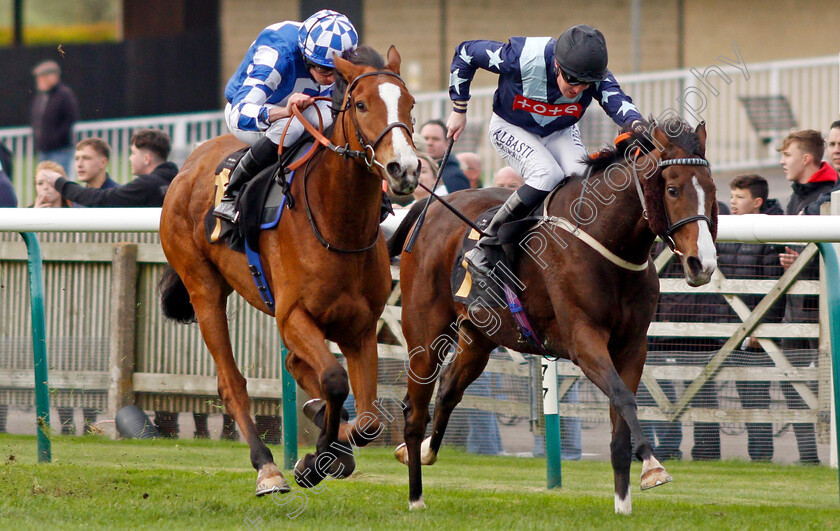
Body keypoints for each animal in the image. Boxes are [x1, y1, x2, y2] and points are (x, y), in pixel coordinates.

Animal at [158, 46, 420, 498]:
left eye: (411, 104)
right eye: (362, 104)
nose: (403, 169)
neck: (338, 225)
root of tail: (186, 166)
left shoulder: (361, 327)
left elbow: (369, 421)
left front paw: (329, 452)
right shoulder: (294, 315)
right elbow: (334, 379)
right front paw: (315, 462)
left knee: (298, 367)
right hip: (203, 287)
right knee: (232, 383)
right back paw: (267, 468)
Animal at [390, 118, 720, 512]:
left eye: (712, 189)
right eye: (672, 189)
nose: (703, 263)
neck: (604, 240)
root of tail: (429, 207)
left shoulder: (632, 346)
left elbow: (620, 422)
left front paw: (623, 505)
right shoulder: (584, 339)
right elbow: (623, 397)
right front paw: (653, 466)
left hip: (479, 337)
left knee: (449, 391)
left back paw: (425, 451)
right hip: (425, 333)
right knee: (414, 410)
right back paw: (415, 497)